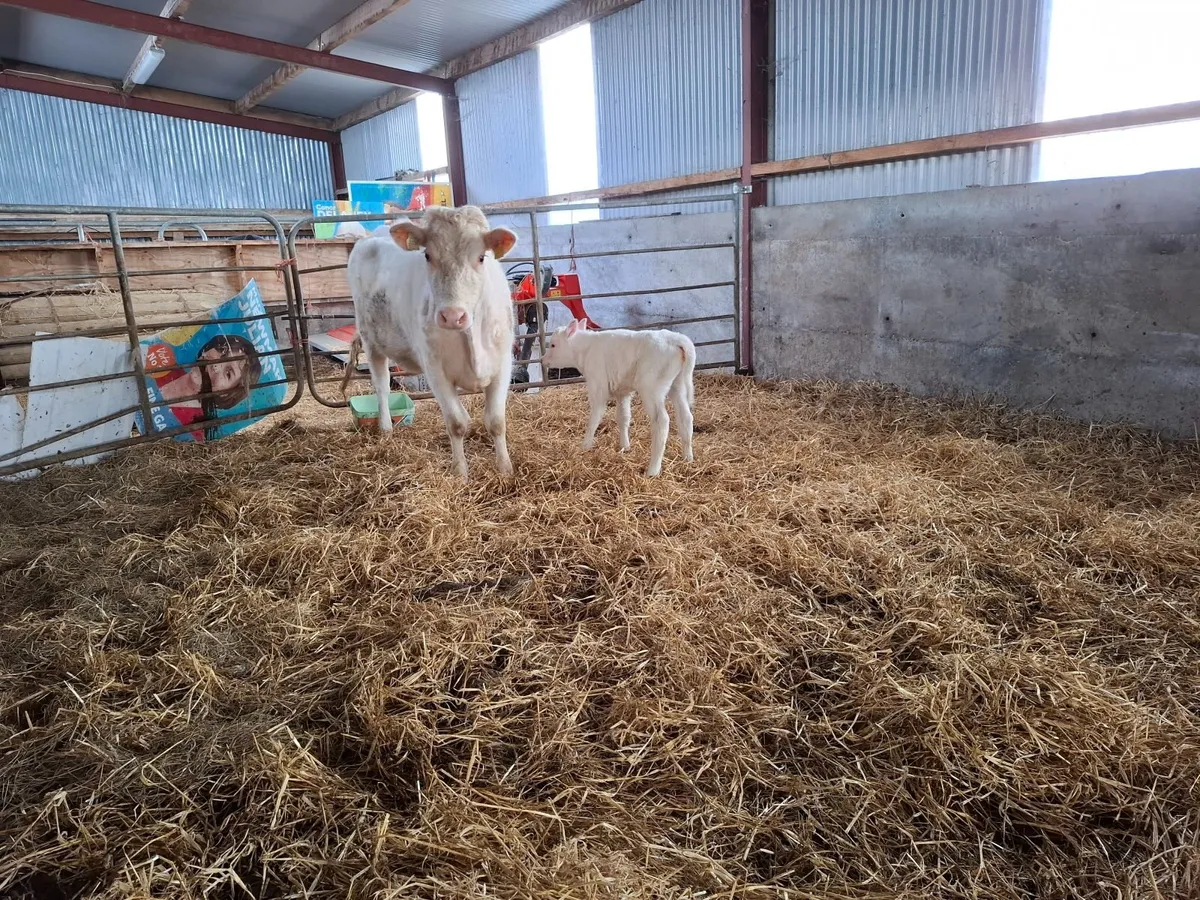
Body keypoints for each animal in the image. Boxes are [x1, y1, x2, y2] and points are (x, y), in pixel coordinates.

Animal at [341, 205, 519, 480]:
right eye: (427, 255)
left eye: (481, 257)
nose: (452, 316)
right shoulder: (436, 371)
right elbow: (456, 423)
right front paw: (460, 473)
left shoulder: (502, 365)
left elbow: (496, 422)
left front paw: (506, 470)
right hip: (372, 342)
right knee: (381, 386)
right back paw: (386, 429)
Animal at [541, 318, 696, 477]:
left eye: (553, 345)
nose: (542, 360)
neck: (586, 349)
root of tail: (678, 340)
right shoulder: (622, 391)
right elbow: (623, 417)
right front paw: (624, 446)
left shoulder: (598, 385)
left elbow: (594, 418)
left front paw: (585, 446)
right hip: (677, 386)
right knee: (686, 417)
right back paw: (688, 458)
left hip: (651, 388)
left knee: (662, 421)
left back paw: (653, 470)